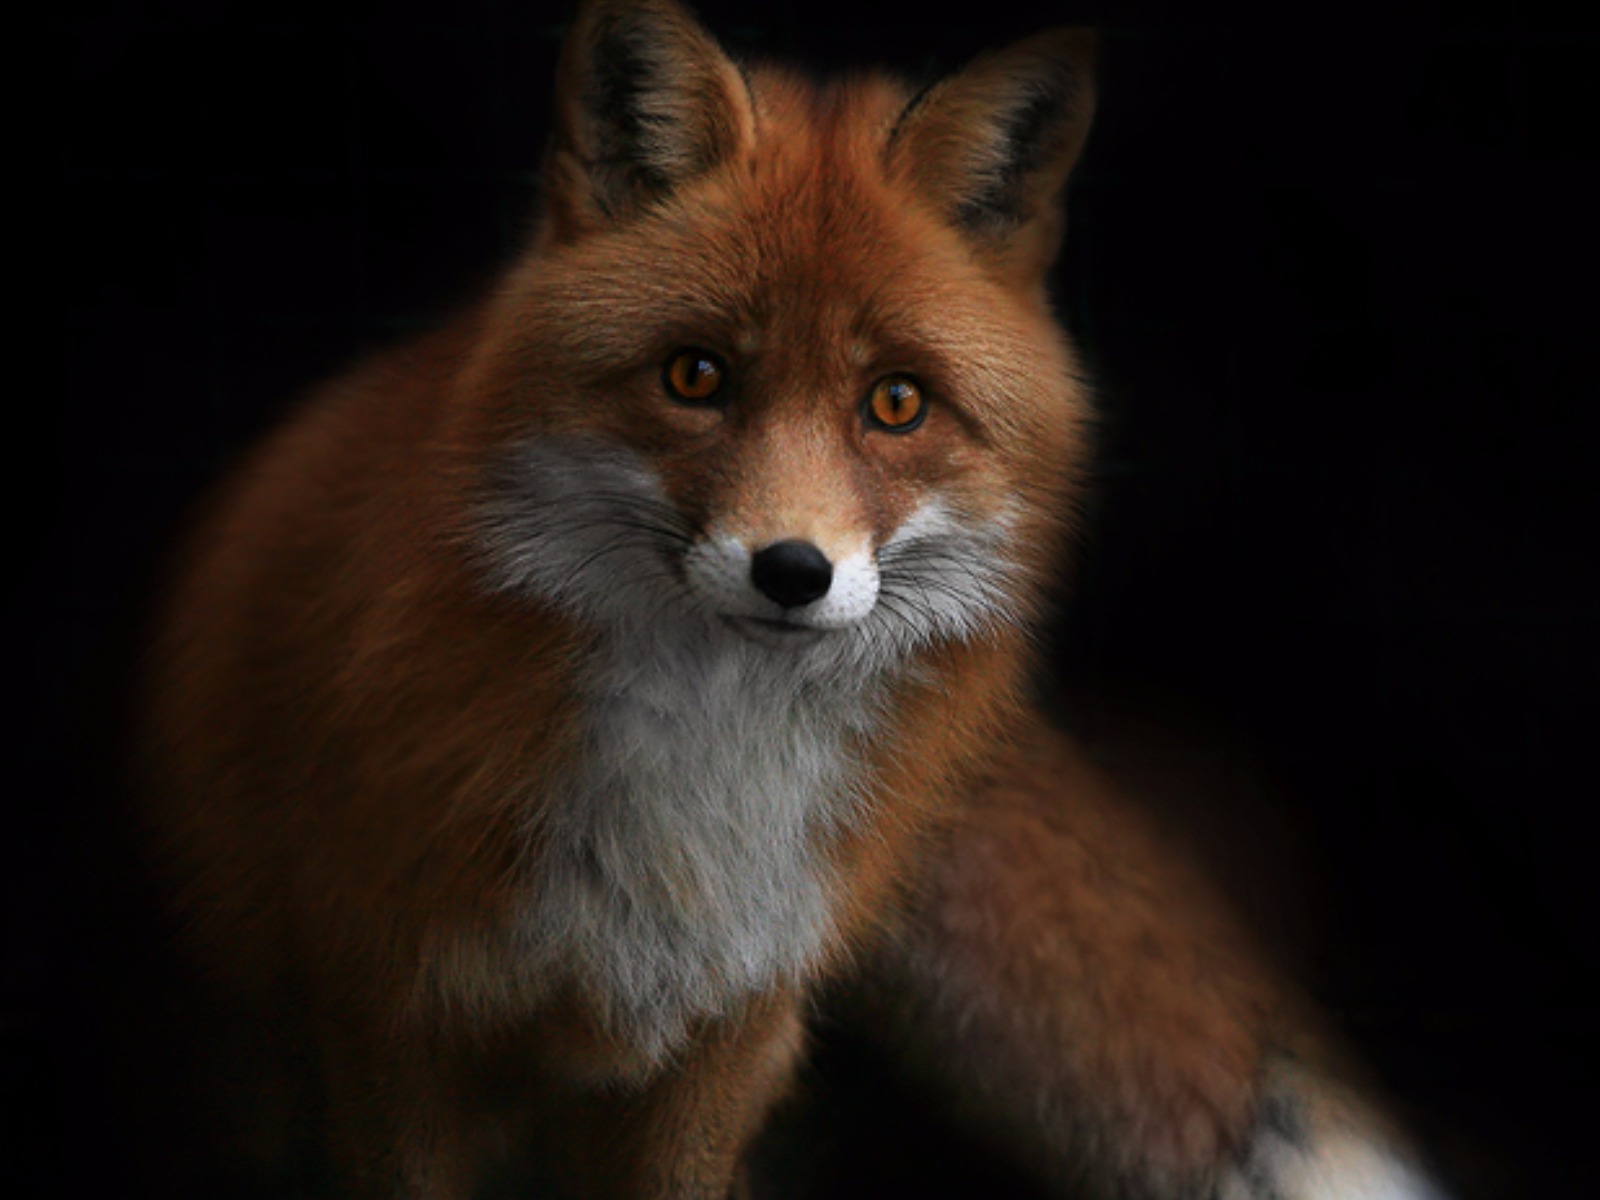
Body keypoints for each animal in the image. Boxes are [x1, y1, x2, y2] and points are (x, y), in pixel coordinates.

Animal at [135, 1, 1459, 1197]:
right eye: (694, 376)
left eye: (896, 403)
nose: (791, 571)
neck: (690, 809)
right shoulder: (392, 1022)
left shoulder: (726, 1037)